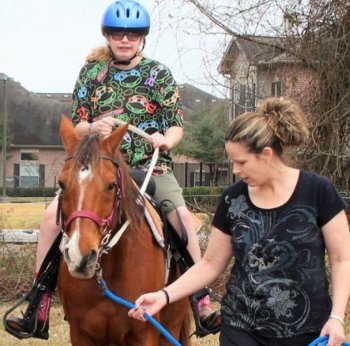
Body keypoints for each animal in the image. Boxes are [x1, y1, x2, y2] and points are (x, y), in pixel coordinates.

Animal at [56, 117, 190, 346]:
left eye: (111, 185)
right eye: (61, 184)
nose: (79, 257)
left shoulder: (145, 334)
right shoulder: (80, 334)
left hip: (171, 326)